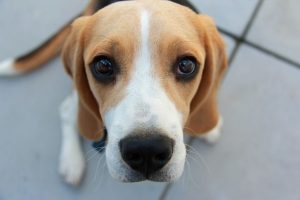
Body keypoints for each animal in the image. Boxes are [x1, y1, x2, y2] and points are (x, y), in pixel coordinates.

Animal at [0, 0, 226, 186]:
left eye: (187, 65)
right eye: (103, 65)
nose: (146, 150)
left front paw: (209, 127)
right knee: (67, 110)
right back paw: (71, 162)